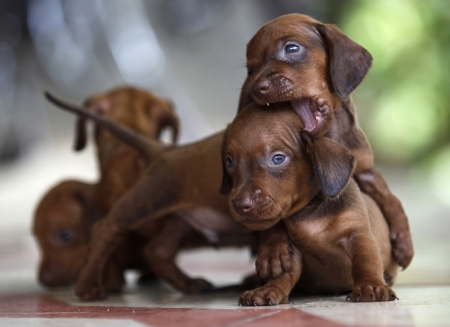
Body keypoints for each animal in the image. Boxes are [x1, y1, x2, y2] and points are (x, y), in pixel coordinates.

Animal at [46, 93, 260, 302]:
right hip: (146, 201)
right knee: (104, 230)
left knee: (156, 252)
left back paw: (189, 284)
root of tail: (164, 150)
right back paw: (88, 286)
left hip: (179, 222)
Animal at [220, 103, 400, 304]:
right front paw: (269, 290)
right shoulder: (293, 251)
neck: (309, 212)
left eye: (278, 158)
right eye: (229, 161)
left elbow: (366, 261)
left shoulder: (357, 234)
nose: (240, 204)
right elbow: (284, 275)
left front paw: (371, 285)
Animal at [237, 13, 414, 270]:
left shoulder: (365, 169)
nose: (257, 88)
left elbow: (391, 198)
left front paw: (403, 239)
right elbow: (274, 216)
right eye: (251, 69)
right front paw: (272, 250)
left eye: (292, 48)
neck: (330, 135)